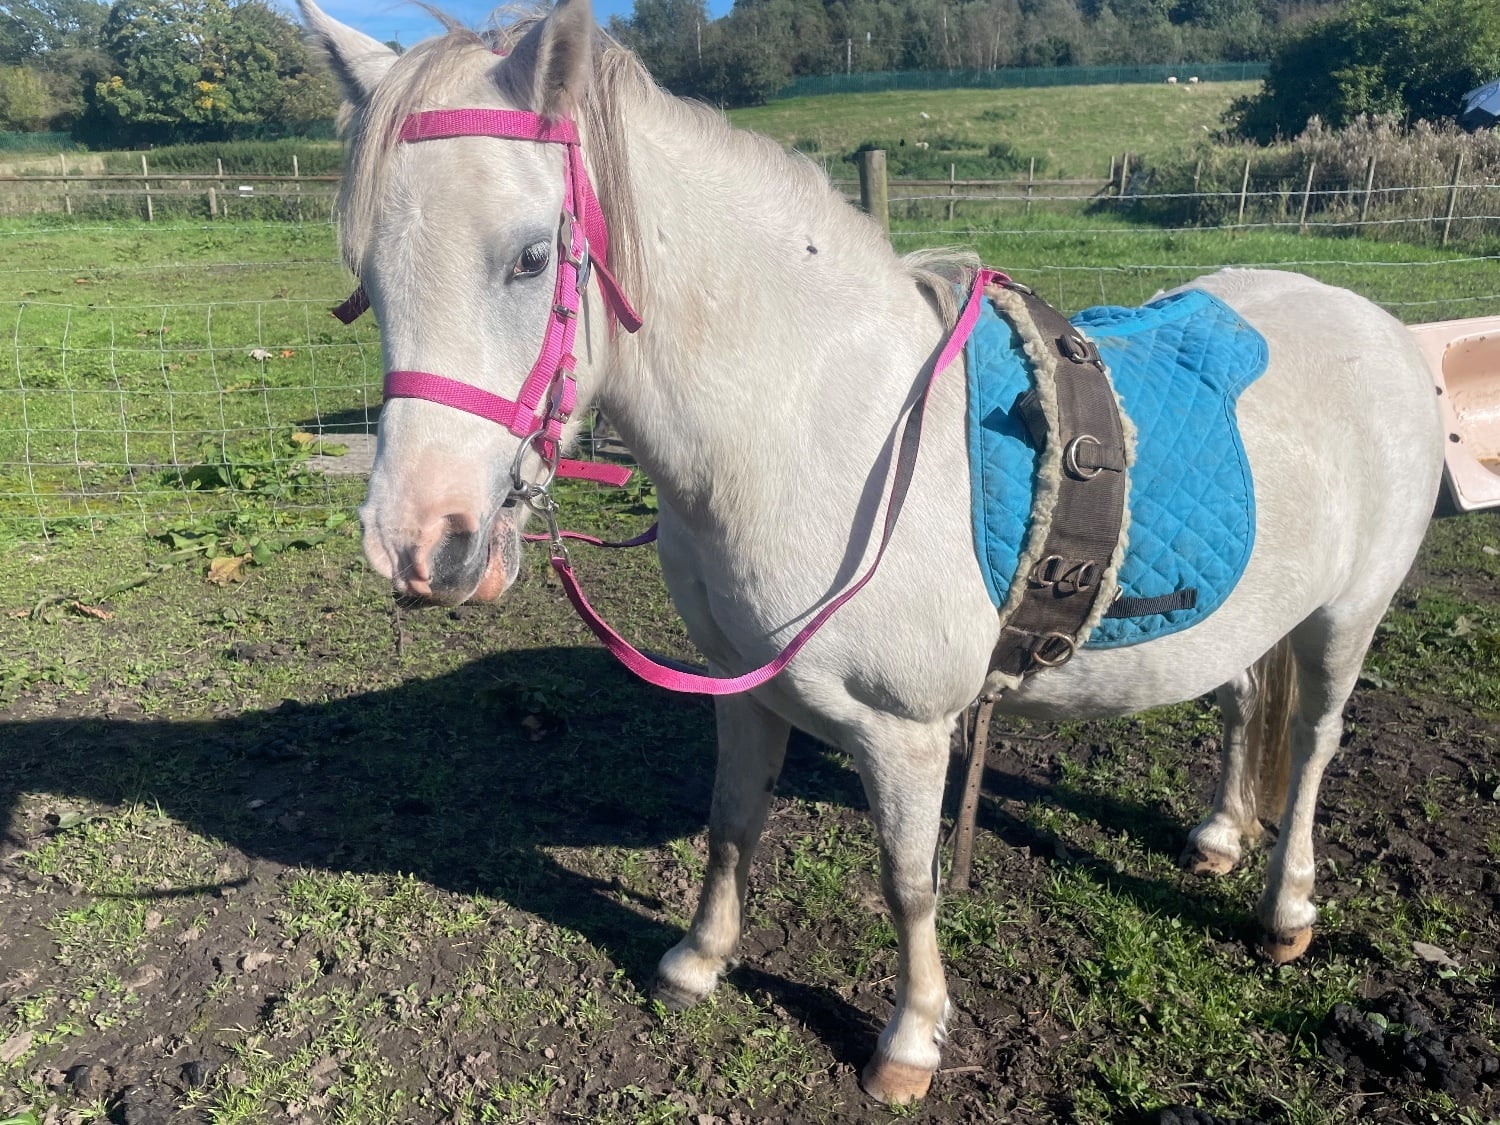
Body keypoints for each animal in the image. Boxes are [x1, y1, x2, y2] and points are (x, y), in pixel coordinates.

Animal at [298, 0, 1445, 1103]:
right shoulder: (740, 686)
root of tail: (1380, 327)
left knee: (1314, 745)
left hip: (1347, 615)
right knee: (1247, 701)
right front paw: (698, 962)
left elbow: (908, 881)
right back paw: (1218, 838)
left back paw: (1286, 908)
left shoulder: (907, 733)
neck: (815, 427)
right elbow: (732, 822)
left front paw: (909, 1044)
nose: (420, 546)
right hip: (1257, 611)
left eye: (532, 257)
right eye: (367, 277)